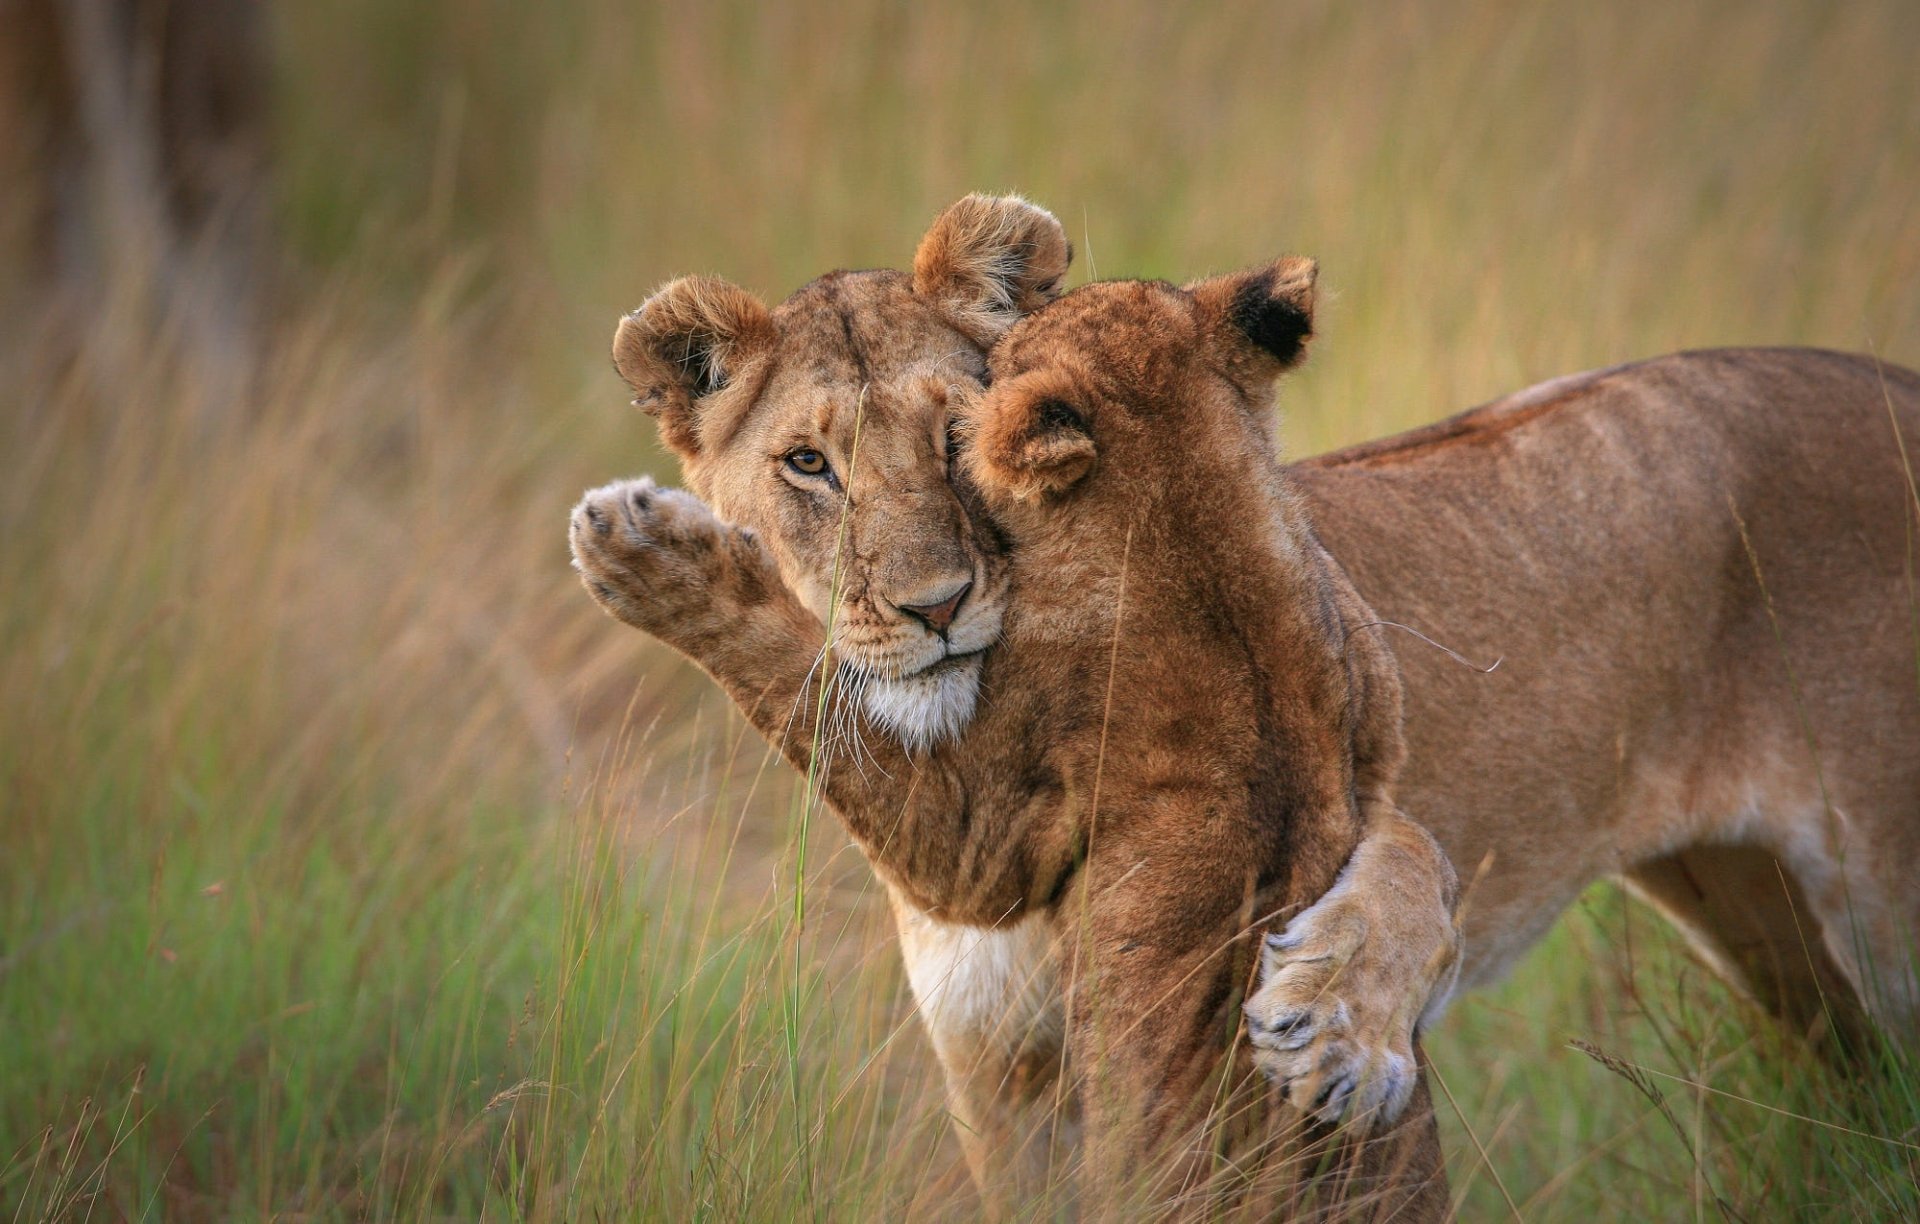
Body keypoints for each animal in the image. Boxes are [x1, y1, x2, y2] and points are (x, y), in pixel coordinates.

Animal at [571, 255, 1455, 1216]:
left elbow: (819, 696)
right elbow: (1413, 850)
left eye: (954, 435)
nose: (936, 607)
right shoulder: (1372, 722)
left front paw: (646, 552)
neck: (1205, 533)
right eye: (809, 464)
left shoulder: (987, 831)